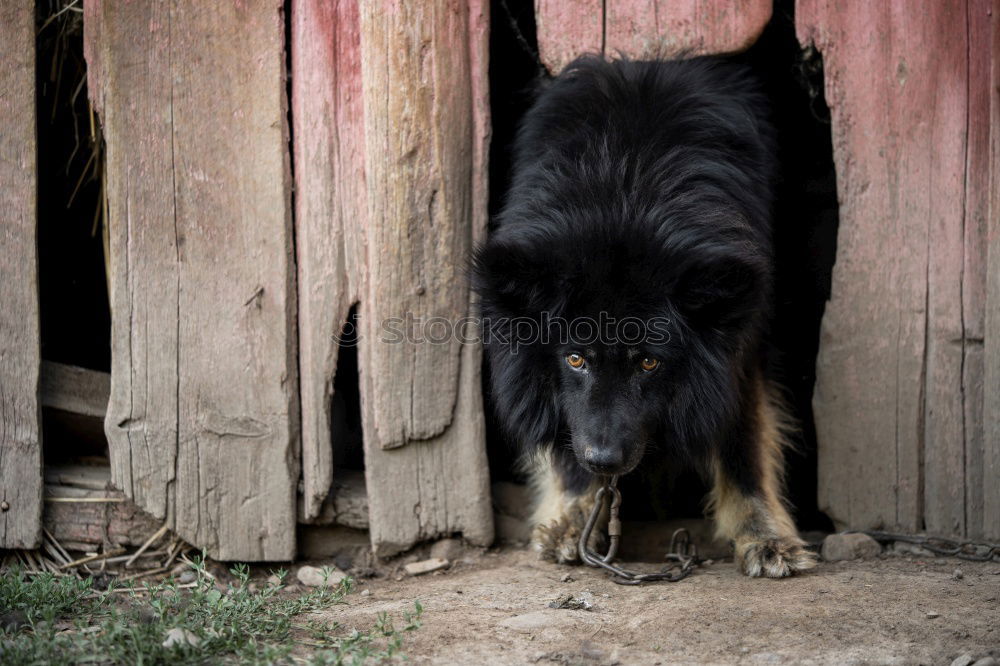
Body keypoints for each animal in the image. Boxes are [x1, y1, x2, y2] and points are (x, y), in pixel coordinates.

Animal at [472, 55, 816, 576]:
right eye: (575, 359)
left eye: (649, 363)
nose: (605, 461)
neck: (625, 191)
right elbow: (565, 438)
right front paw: (574, 517)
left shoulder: (741, 347)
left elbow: (744, 445)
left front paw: (765, 536)